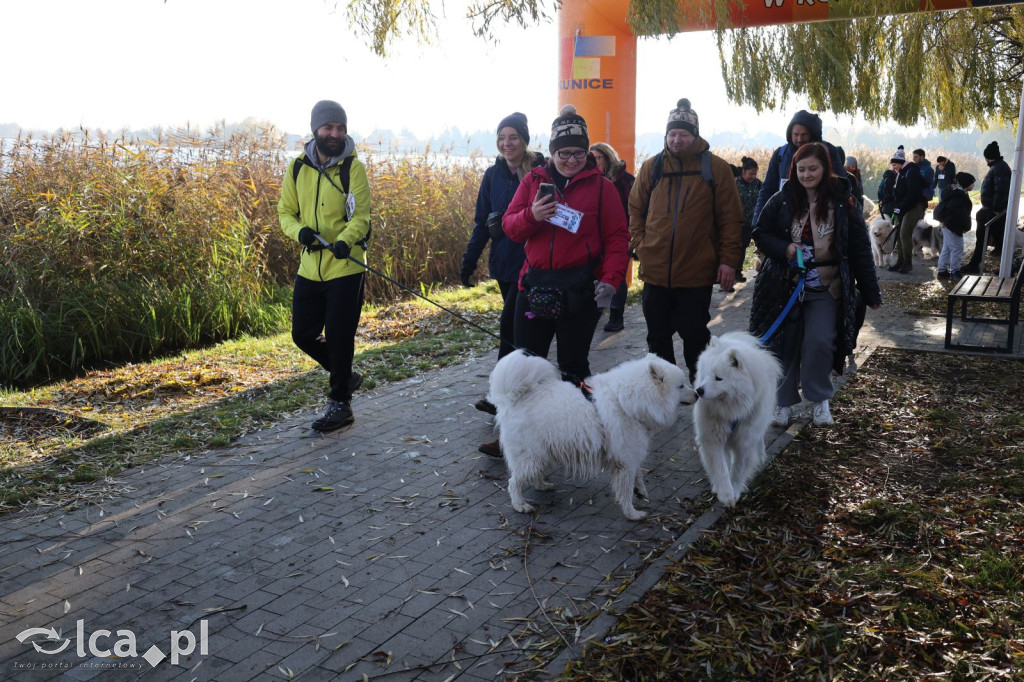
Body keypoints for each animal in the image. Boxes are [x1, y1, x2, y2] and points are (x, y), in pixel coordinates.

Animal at [487, 348, 696, 518]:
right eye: (681, 386)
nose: (697, 393)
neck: (627, 402)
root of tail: (512, 400)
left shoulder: (630, 451)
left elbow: (638, 474)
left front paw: (641, 490)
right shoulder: (625, 460)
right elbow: (625, 491)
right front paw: (632, 514)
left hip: (542, 452)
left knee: (532, 475)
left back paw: (543, 486)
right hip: (530, 456)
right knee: (514, 482)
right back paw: (520, 505)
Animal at [692, 331, 778, 507]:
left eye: (719, 378)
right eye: (706, 374)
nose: (699, 391)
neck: (732, 411)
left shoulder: (745, 440)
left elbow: (738, 469)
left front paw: (735, 490)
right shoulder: (713, 437)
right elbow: (720, 467)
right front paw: (725, 493)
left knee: (759, 438)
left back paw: (761, 455)